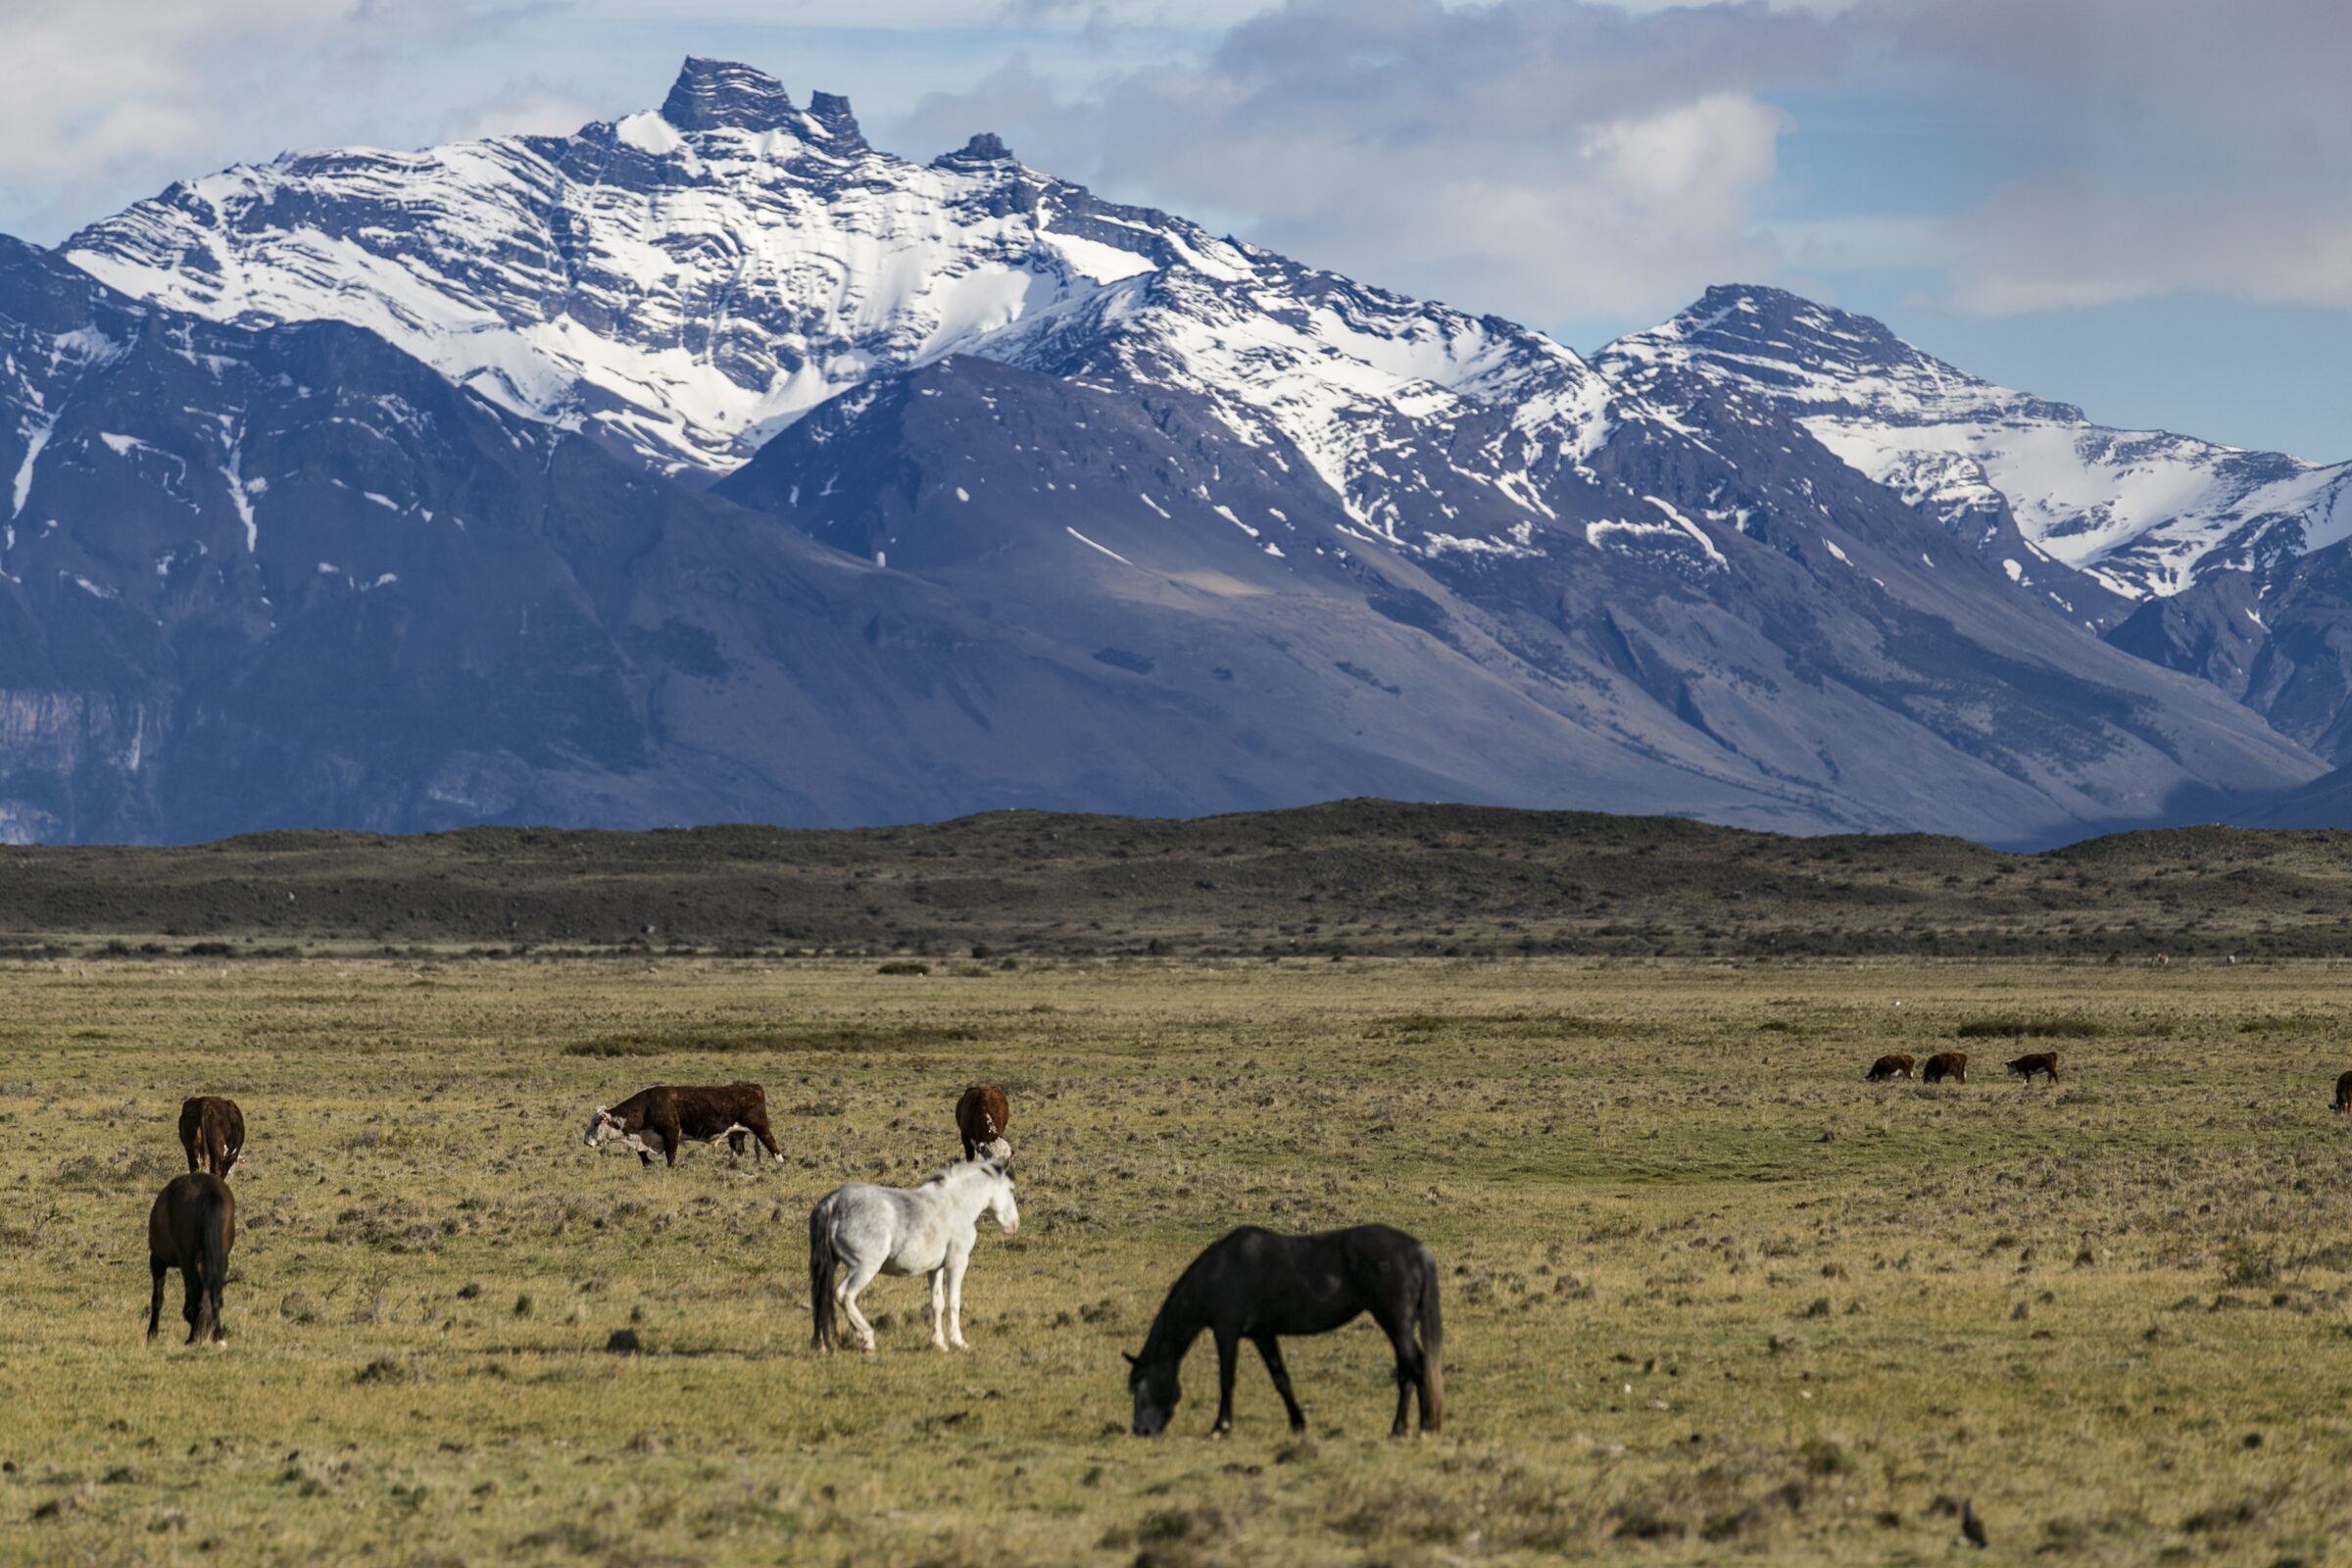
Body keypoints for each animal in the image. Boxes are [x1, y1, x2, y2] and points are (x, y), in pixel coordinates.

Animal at [147, 1173, 235, 1348]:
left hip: (186, 1258)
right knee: (213, 1292)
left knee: (193, 1294)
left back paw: (191, 1337)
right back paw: (218, 1337)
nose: (205, 1334)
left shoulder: (157, 1260)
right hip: (220, 1257)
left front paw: (152, 1333)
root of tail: (210, 1190)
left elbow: (158, 1297)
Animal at [808, 1157, 1018, 1353]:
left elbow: (937, 1303)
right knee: (844, 1295)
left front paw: (938, 1343)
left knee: (823, 1299)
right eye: (1011, 1189)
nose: (1014, 1225)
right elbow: (954, 1302)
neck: (955, 1204)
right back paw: (866, 1337)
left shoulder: (935, 1269)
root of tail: (833, 1203)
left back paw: (826, 1344)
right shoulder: (957, 1263)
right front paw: (958, 1342)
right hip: (863, 1268)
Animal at [1125, 1224, 1442, 1439]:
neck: (1220, 1271)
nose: (1140, 1430)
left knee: (1417, 1367)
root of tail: (1418, 1250)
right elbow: (1281, 1379)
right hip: (1397, 1326)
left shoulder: (1226, 1333)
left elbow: (1226, 1380)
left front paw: (1220, 1427)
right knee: (1407, 1372)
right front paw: (1298, 1424)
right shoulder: (1262, 1335)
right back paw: (1398, 1429)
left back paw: (1426, 1427)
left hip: (1395, 1323)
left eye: (1139, 1388)